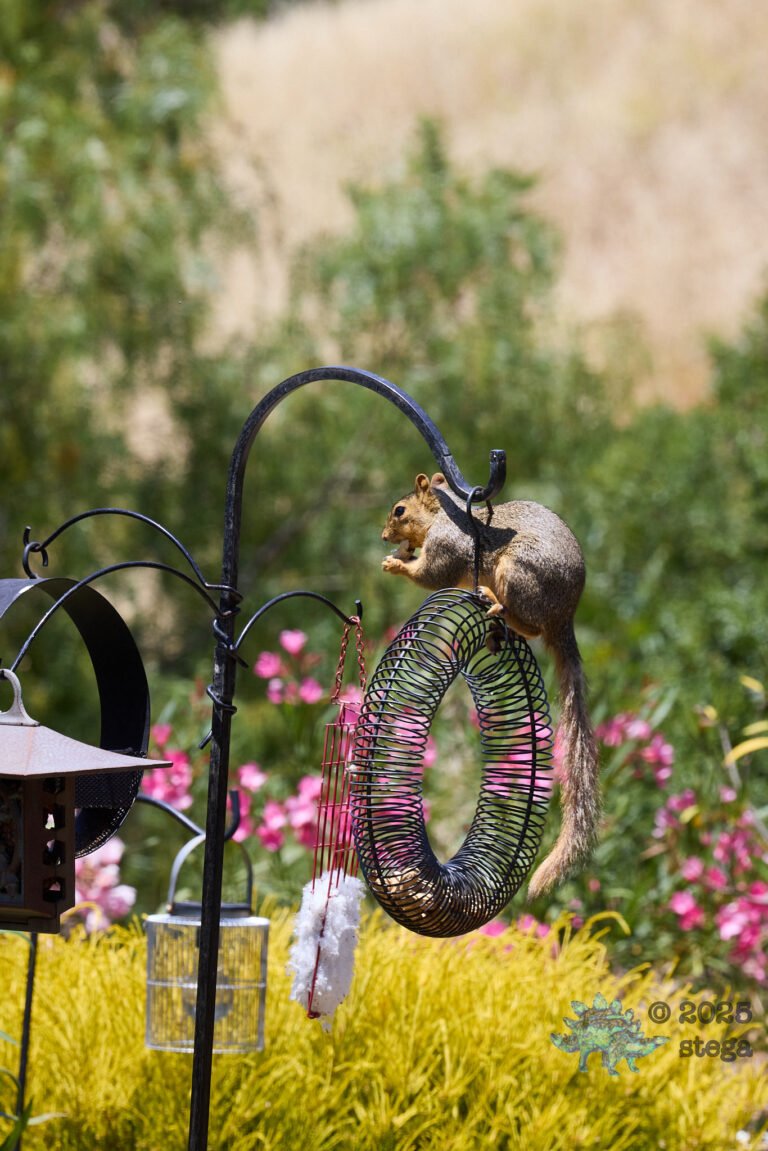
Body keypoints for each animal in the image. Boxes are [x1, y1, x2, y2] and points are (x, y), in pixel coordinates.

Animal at [380, 471, 599, 899]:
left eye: (399, 510)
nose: (383, 536)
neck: (443, 515)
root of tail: (564, 617)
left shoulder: (448, 547)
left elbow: (432, 576)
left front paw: (396, 563)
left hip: (518, 573)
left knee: (531, 625)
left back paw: (495, 603)